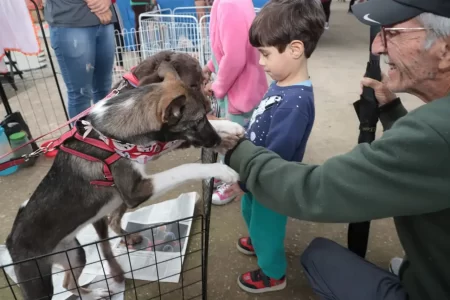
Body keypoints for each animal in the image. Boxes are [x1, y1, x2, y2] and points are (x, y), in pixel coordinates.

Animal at [4, 59, 243, 298]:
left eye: (205, 117)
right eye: (198, 121)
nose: (214, 141)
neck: (112, 134)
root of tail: (10, 242)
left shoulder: (146, 149)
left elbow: (174, 142)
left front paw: (230, 127)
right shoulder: (135, 190)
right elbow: (184, 168)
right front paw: (221, 170)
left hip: (74, 254)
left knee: (68, 283)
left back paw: (95, 293)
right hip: (37, 281)